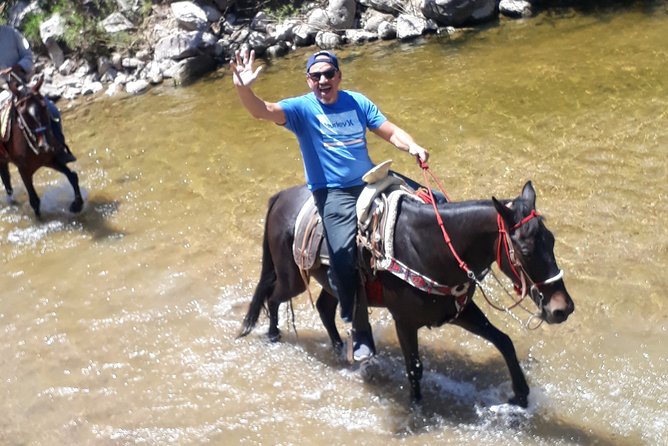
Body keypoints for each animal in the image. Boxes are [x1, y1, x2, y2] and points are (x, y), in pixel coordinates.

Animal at [0, 74, 83, 218]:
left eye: (44, 106)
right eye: (22, 112)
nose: (44, 145)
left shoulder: (51, 160)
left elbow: (72, 176)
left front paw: (77, 205)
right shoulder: (23, 170)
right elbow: (34, 201)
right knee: (7, 185)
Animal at [239, 180, 576, 408]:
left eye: (552, 240)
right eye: (525, 249)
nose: (562, 308)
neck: (430, 247)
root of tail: (281, 196)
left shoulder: (459, 311)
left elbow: (503, 341)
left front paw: (520, 395)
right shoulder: (404, 321)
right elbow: (414, 367)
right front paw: (417, 408)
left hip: (332, 283)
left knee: (324, 308)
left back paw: (340, 349)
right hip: (292, 277)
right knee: (272, 296)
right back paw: (274, 335)